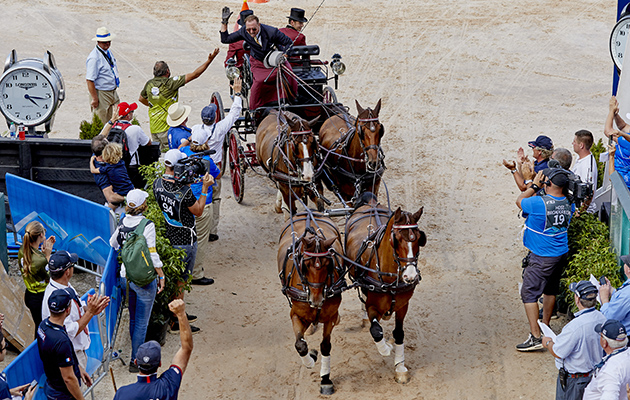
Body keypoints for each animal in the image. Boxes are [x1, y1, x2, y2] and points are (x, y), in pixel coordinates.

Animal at [278, 212, 346, 394]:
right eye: (306, 265)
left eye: (328, 264)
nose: (316, 299)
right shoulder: (295, 314)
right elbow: (300, 344)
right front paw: (310, 359)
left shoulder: (329, 317)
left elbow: (326, 346)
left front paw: (325, 379)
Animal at [346, 195, 430, 382]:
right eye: (396, 239)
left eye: (419, 238)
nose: (410, 276)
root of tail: (370, 204)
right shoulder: (373, 306)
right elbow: (376, 331)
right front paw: (387, 348)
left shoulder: (402, 306)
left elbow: (399, 333)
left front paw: (400, 367)